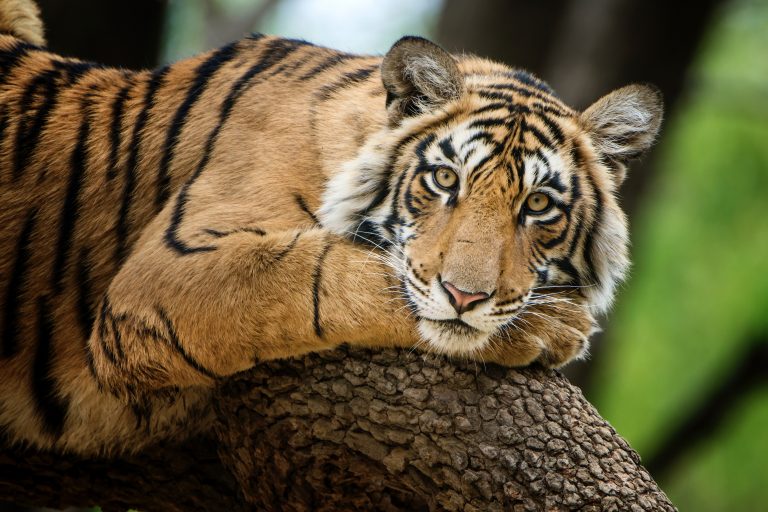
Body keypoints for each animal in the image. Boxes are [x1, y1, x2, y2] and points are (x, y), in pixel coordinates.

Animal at [0, 0, 662, 455]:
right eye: (445, 179)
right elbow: (326, 274)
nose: (465, 296)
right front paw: (552, 326)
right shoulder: (166, 271)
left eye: (538, 205)